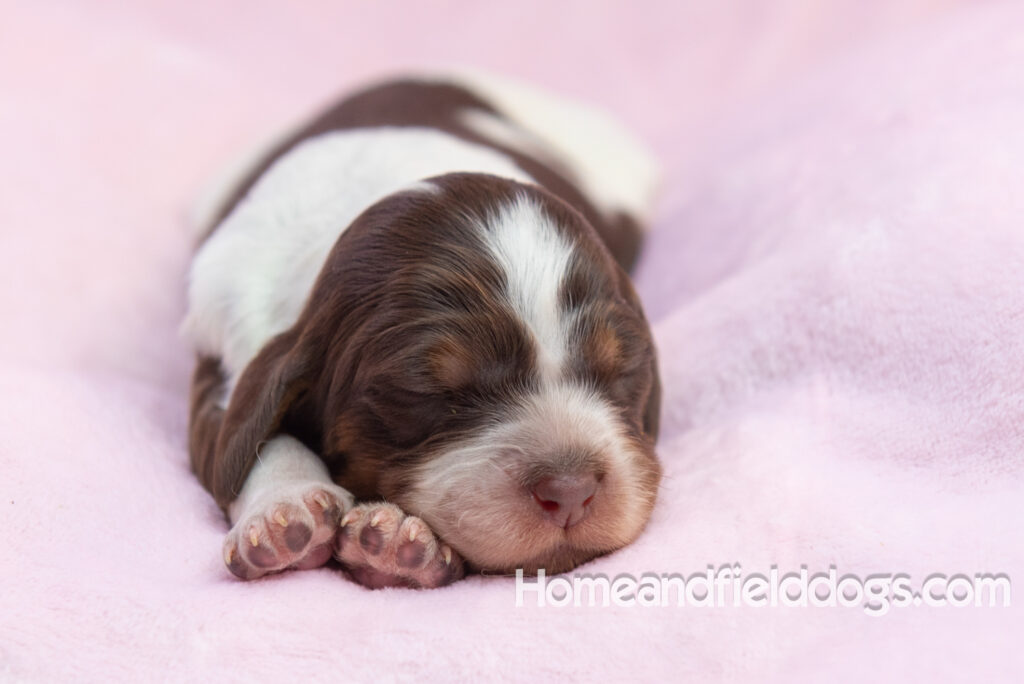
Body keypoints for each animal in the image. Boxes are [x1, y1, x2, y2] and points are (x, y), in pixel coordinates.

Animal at [184, 73, 663, 589]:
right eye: (423, 393)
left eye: (622, 372)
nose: (571, 492)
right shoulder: (224, 341)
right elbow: (245, 442)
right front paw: (286, 511)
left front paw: (392, 541)